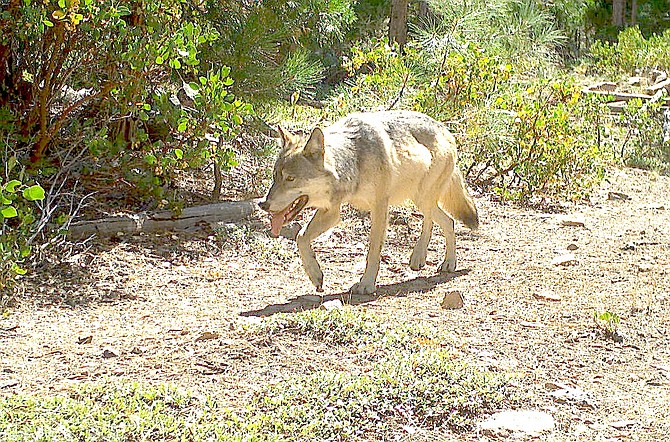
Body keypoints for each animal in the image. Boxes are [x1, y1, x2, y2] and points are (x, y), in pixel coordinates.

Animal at [260, 110, 480, 296]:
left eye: (290, 179)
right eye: (275, 177)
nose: (263, 204)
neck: (353, 160)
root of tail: (446, 130)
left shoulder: (379, 207)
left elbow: (373, 250)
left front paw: (366, 284)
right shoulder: (332, 211)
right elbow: (301, 237)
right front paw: (315, 275)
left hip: (423, 197)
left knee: (443, 221)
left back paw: (446, 262)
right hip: (420, 199)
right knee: (445, 221)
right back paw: (422, 258)